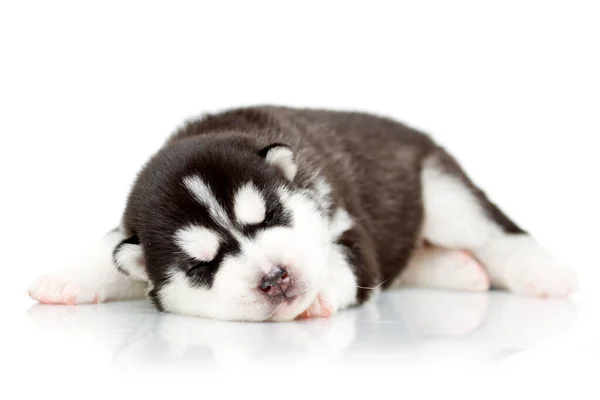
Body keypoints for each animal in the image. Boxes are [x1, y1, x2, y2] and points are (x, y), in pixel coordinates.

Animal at [27, 107, 576, 322]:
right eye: (202, 266)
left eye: (269, 215)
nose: (275, 278)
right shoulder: (129, 230)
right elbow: (110, 246)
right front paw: (64, 279)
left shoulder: (350, 227)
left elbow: (344, 260)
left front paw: (319, 292)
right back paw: (459, 270)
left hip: (441, 191)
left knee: (489, 230)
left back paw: (542, 272)